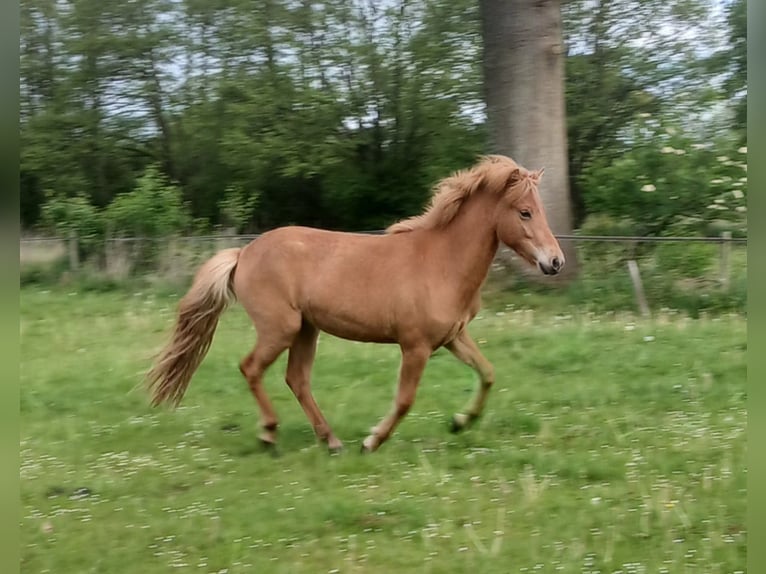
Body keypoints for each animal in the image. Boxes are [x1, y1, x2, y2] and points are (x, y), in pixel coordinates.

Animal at [146, 155, 564, 453]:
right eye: (524, 212)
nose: (555, 262)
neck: (440, 262)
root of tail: (244, 252)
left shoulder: (451, 337)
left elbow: (488, 374)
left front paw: (460, 422)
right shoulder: (415, 346)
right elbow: (405, 400)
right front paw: (372, 440)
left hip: (306, 329)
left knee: (296, 379)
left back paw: (330, 441)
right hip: (280, 328)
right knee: (252, 368)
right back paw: (269, 433)